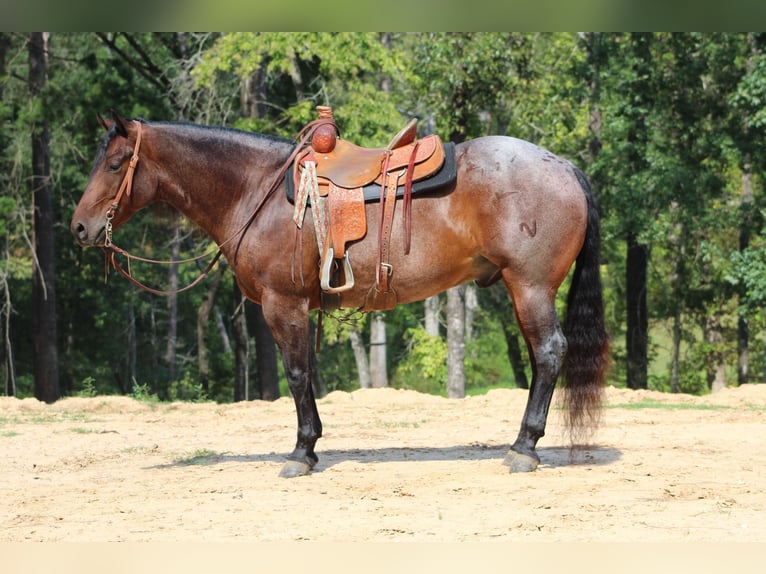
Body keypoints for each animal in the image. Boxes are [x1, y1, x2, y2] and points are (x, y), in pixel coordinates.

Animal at [72, 110, 612, 480]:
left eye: (115, 163)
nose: (80, 228)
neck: (256, 191)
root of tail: (563, 166)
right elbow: (304, 374)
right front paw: (310, 447)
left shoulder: (284, 304)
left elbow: (296, 375)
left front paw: (301, 452)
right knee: (542, 357)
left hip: (530, 287)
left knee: (549, 352)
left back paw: (524, 447)